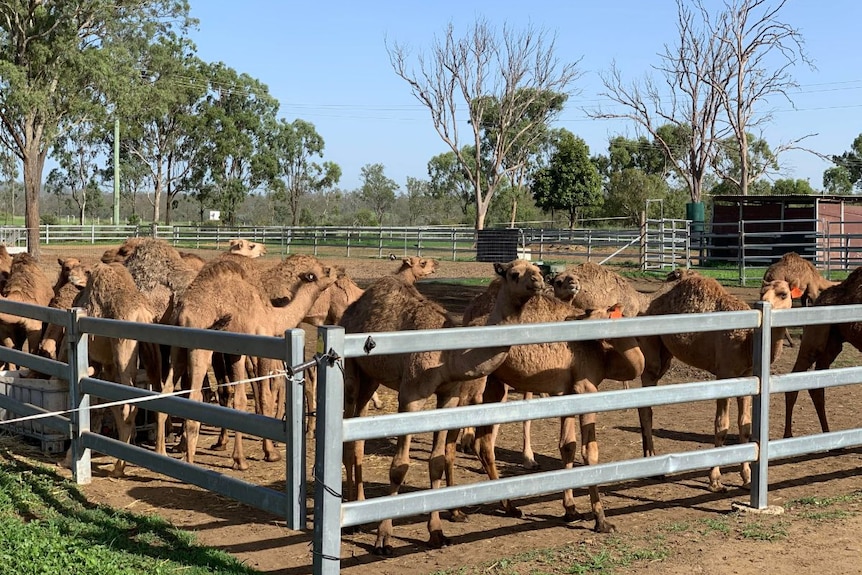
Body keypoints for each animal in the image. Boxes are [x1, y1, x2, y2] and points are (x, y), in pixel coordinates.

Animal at [168, 254, 338, 470]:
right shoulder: (260, 345)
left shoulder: (235, 353)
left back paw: (163, 451)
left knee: (167, 390)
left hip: (177, 349)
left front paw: (239, 456)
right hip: (199, 347)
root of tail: (182, 313)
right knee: (195, 396)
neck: (273, 316)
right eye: (325, 270)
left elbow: (239, 399)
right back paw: (189, 460)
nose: (338, 271)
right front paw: (267, 453)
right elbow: (264, 396)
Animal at [340, 260, 544, 552]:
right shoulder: (411, 396)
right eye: (515, 274)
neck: (448, 356)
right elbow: (399, 467)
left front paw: (437, 533)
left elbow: (436, 461)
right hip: (352, 371)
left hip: (372, 377)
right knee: (349, 434)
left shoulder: (449, 396)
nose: (539, 281)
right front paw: (383, 537)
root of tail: (348, 312)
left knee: (358, 438)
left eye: (536, 269)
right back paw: (352, 519)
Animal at [636, 276, 796, 492]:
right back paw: (655, 467)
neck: (746, 341)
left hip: (665, 353)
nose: (765, 303)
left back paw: (648, 458)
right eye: (761, 292)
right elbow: (721, 426)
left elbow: (744, 426)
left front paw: (747, 478)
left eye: (783, 294)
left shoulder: (747, 377)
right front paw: (715, 480)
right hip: (650, 348)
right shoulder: (724, 374)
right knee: (647, 401)